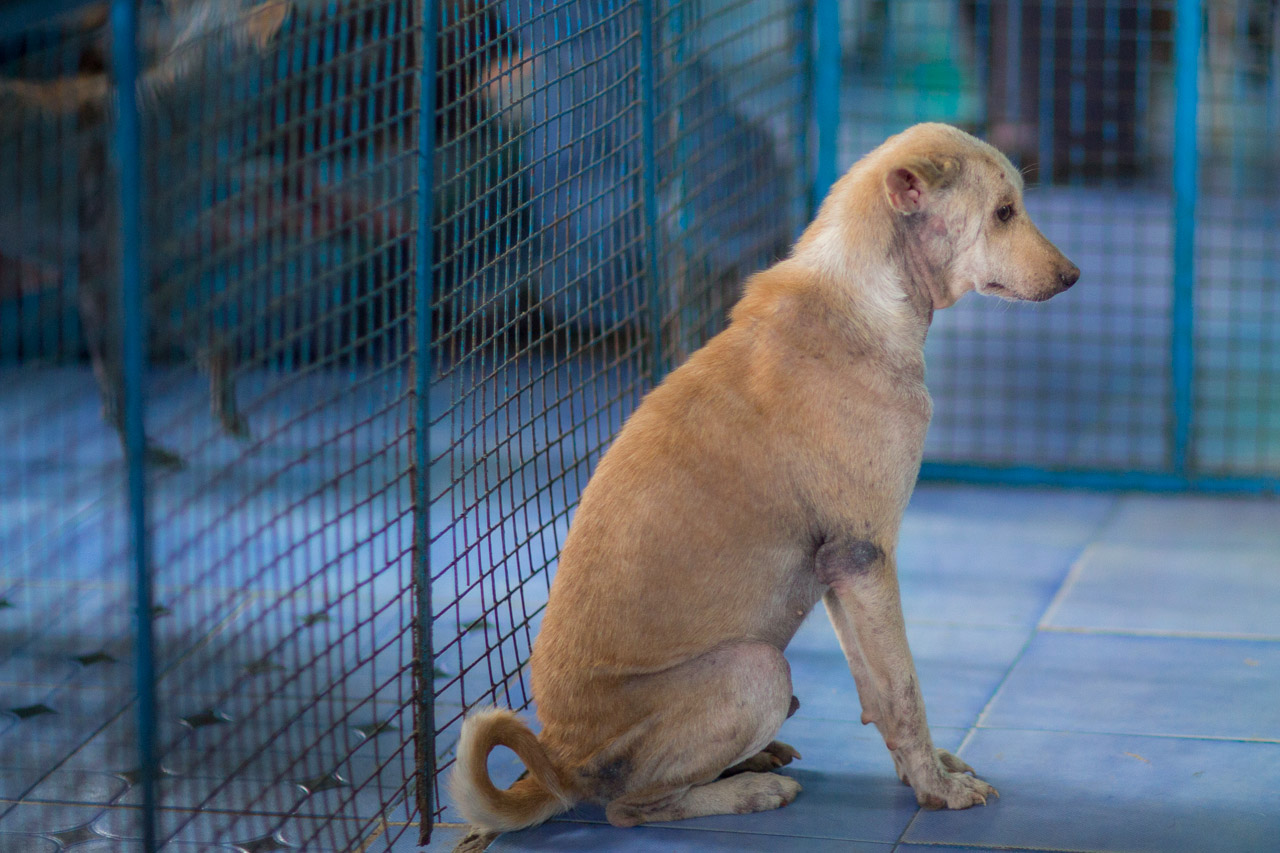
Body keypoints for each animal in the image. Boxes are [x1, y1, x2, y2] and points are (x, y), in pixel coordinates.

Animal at [448, 123, 1080, 844]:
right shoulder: (866, 557)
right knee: (633, 808)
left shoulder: (840, 570)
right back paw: (751, 788)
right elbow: (904, 691)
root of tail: (557, 762)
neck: (863, 300)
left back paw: (755, 759)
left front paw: (923, 771)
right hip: (757, 668)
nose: (1072, 275)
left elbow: (877, 687)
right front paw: (937, 789)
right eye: (1003, 212)